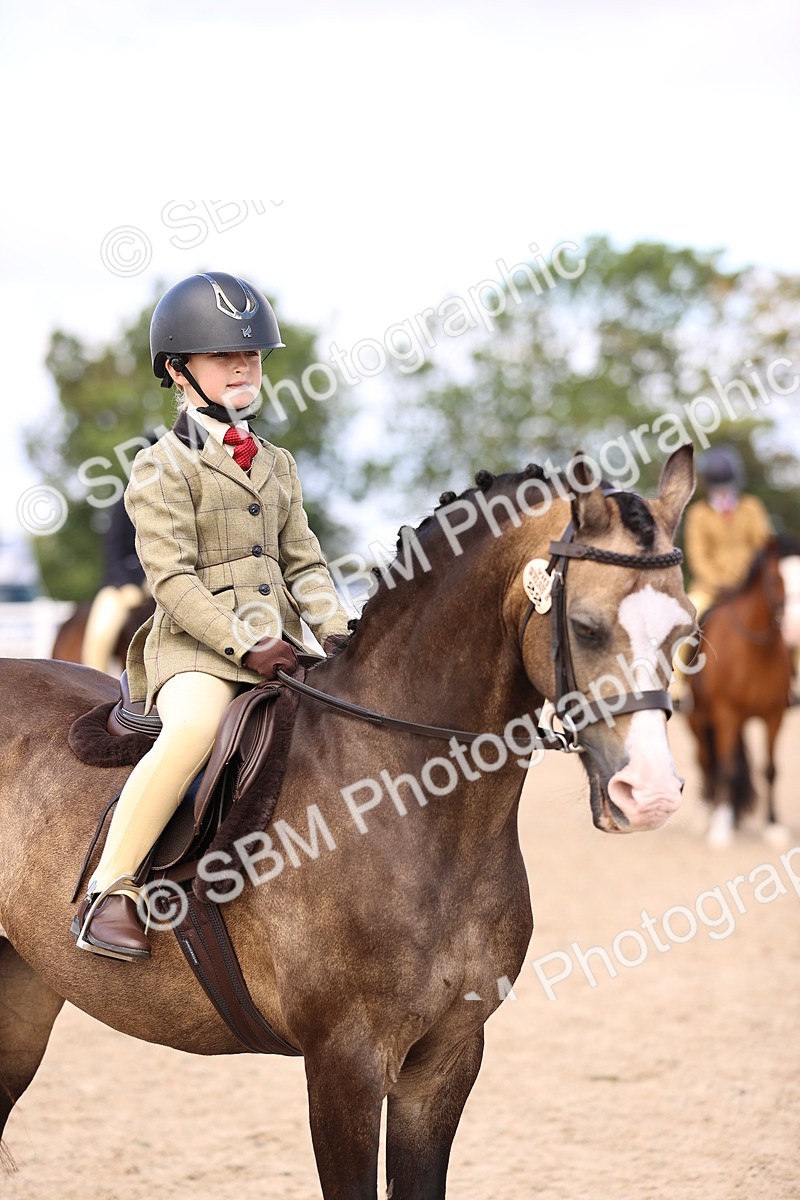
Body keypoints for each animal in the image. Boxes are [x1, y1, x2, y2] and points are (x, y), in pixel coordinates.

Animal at [0, 447, 695, 1199]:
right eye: (588, 627)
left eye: (687, 632)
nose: (651, 793)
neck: (409, 806)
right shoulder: (344, 1064)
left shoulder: (446, 1059)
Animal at [685, 536, 794, 847]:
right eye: (775, 578)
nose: (795, 626)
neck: (756, 651)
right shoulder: (725, 715)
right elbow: (727, 768)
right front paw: (721, 828)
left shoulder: (774, 716)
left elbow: (770, 770)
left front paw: (773, 826)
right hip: (698, 720)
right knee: (706, 761)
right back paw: (706, 814)